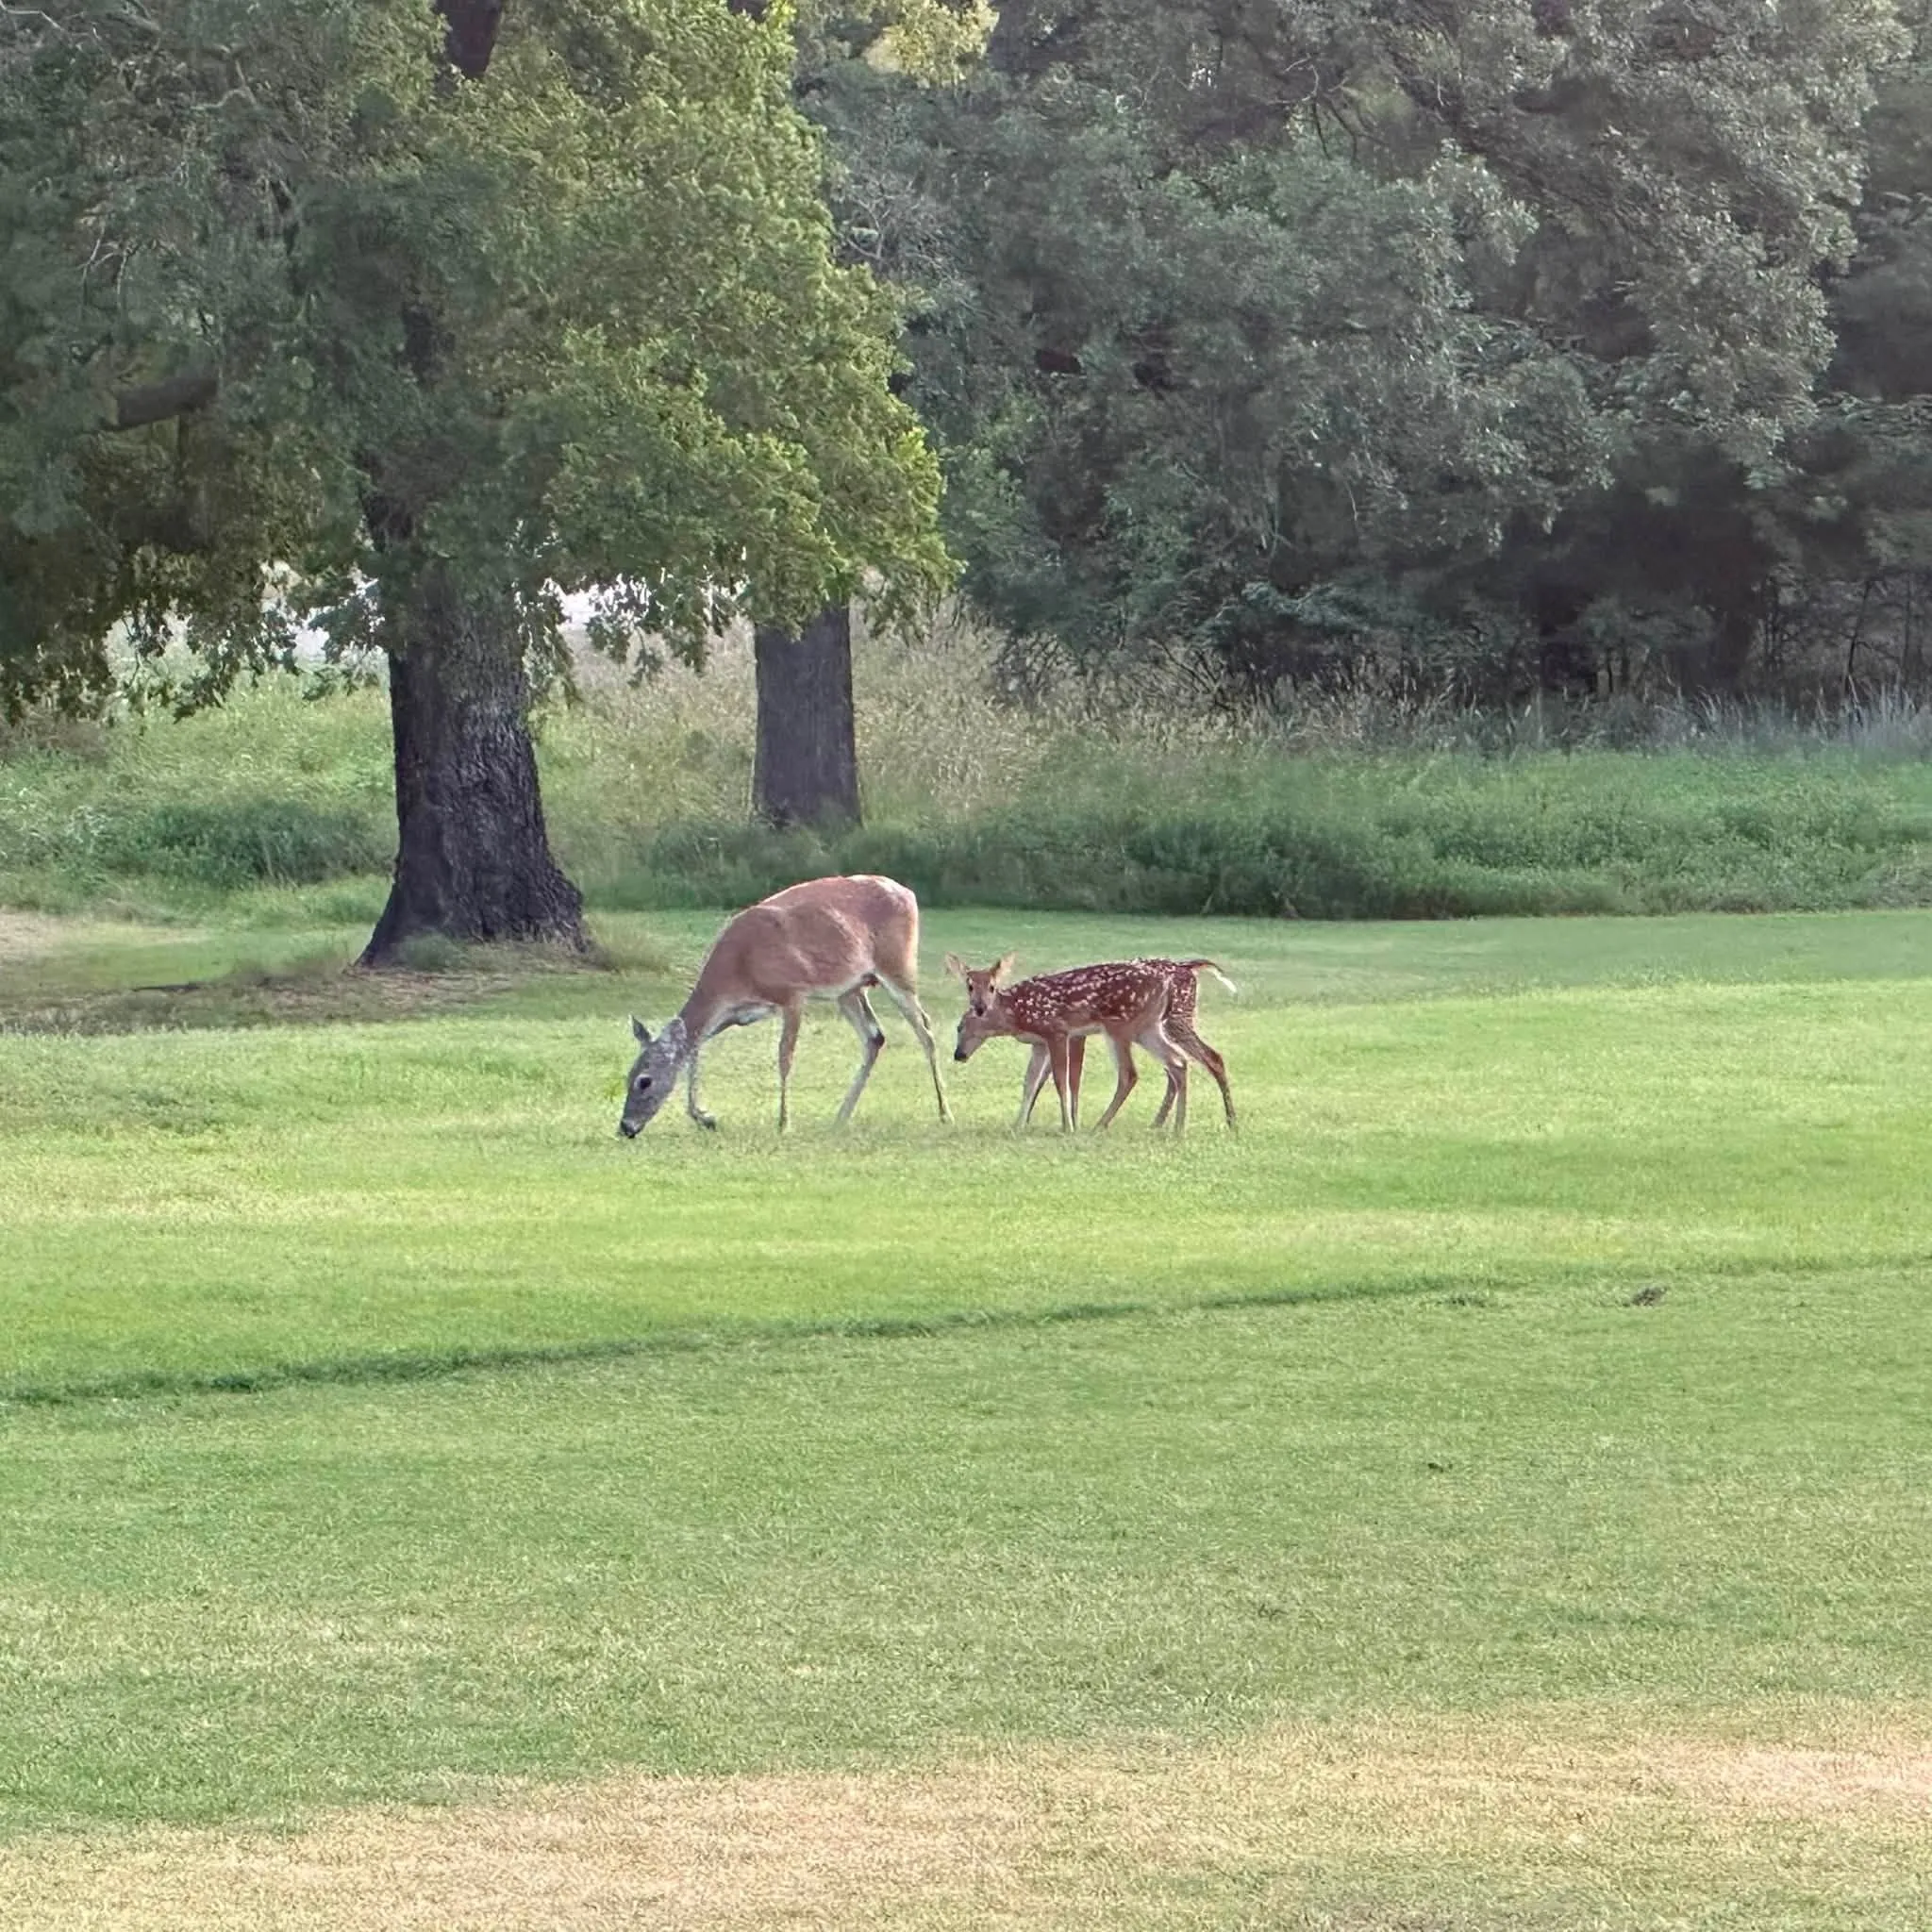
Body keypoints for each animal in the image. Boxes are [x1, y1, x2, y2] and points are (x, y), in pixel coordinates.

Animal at [618, 874, 951, 1136]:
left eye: (644, 1082)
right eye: (627, 1077)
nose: (625, 1128)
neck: (739, 968)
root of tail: (908, 893)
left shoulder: (792, 993)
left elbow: (784, 1057)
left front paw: (783, 1122)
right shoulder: (734, 1013)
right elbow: (694, 1051)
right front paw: (705, 1117)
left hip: (898, 967)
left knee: (925, 1030)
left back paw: (945, 1113)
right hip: (849, 989)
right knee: (875, 1037)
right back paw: (841, 1117)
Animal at [948, 954, 1237, 1131]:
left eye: (961, 1027)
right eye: (969, 986)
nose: (958, 1054)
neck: (1017, 1014)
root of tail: (1187, 968)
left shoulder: (1059, 1032)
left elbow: (1063, 1080)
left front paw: (1069, 1126)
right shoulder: (1042, 1042)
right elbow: (1031, 1082)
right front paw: (1019, 1125)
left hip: (1129, 1027)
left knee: (1134, 1073)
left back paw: (1103, 1125)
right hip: (1149, 1028)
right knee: (1181, 1062)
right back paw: (1177, 1127)